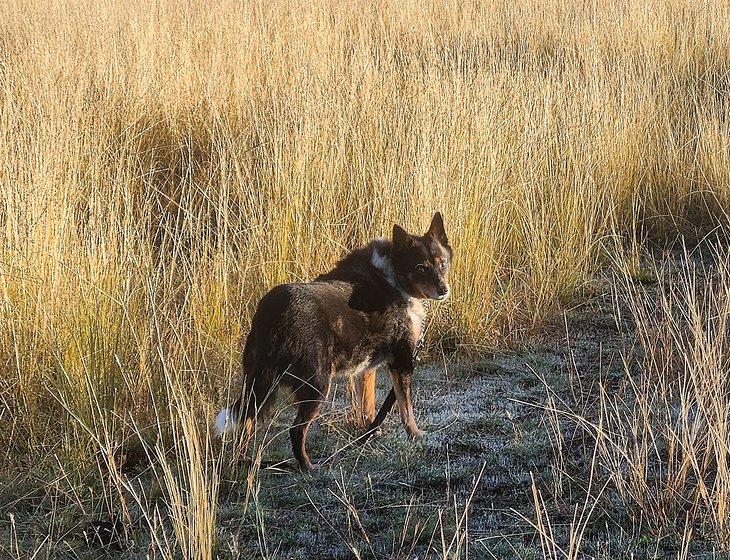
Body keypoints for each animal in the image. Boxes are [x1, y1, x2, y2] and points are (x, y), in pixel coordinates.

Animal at [213, 212, 450, 470]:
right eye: (420, 267)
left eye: (443, 264)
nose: (444, 290)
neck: (393, 274)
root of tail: (275, 311)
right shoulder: (402, 361)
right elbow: (406, 407)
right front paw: (415, 435)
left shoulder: (367, 368)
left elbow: (368, 404)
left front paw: (369, 433)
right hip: (316, 384)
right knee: (296, 431)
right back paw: (309, 466)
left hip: (258, 382)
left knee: (246, 422)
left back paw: (245, 462)